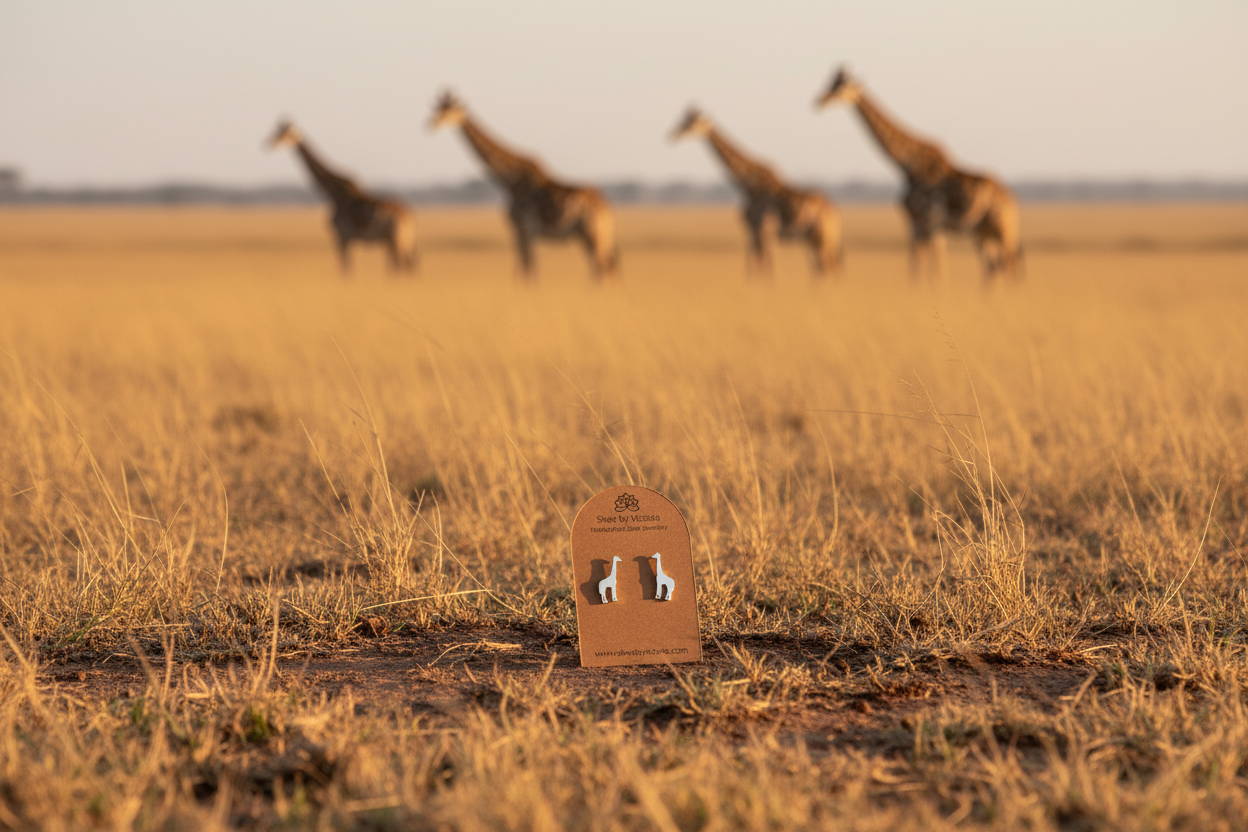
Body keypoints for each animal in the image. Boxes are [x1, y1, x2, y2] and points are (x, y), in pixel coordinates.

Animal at [267, 120, 418, 275]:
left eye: (283, 134)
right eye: (276, 132)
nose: (269, 143)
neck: (335, 195)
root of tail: (410, 216)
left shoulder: (341, 237)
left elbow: (345, 269)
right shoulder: (351, 240)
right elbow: (349, 269)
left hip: (396, 240)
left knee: (402, 267)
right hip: (400, 241)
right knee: (405, 267)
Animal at [428, 92, 618, 280]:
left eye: (449, 111)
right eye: (437, 109)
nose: (430, 124)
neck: (509, 180)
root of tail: (606, 207)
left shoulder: (522, 231)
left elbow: (527, 271)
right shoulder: (524, 233)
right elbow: (526, 270)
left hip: (593, 234)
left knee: (603, 269)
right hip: (594, 236)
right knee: (602, 269)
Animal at [671, 107, 842, 277]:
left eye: (691, 124)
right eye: (684, 121)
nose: (673, 134)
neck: (747, 185)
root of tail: (831, 210)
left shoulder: (765, 231)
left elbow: (768, 270)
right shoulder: (752, 231)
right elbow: (753, 268)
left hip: (822, 236)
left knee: (827, 267)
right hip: (814, 238)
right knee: (824, 267)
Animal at [815, 68, 1021, 282]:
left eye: (841, 88)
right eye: (831, 83)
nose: (819, 100)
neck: (907, 166)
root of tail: (1012, 202)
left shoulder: (927, 222)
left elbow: (929, 268)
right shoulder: (919, 225)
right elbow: (921, 267)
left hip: (1004, 230)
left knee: (1008, 265)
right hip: (983, 232)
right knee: (994, 267)